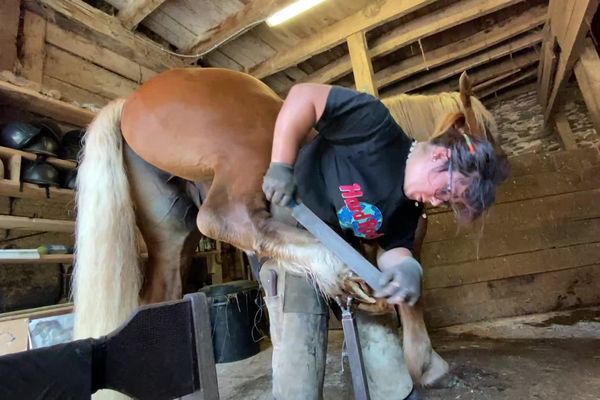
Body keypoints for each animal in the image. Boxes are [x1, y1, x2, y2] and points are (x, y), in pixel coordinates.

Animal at [74, 67, 496, 390]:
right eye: (486, 138)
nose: (483, 200)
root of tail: (126, 102)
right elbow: (411, 297)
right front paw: (426, 365)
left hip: (172, 235)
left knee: (161, 294)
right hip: (246, 151)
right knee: (223, 216)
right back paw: (331, 266)